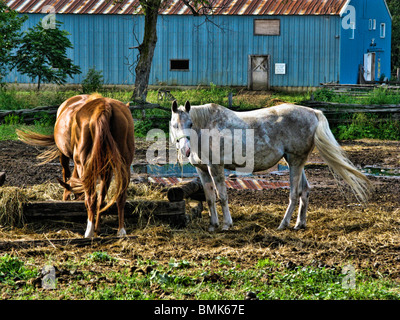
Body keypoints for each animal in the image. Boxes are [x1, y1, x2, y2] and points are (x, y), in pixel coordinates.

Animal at [17, 93, 134, 238]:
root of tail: (104, 106)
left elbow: (68, 177)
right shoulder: (106, 170)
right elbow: (102, 199)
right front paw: (98, 228)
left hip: (82, 164)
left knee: (91, 197)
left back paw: (88, 232)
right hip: (124, 164)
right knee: (120, 196)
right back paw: (120, 230)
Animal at [170, 101, 372, 231]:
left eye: (190, 123)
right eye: (173, 125)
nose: (185, 149)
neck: (206, 128)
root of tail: (314, 113)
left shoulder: (216, 168)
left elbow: (222, 197)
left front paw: (227, 225)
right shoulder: (203, 170)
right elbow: (210, 198)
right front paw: (213, 225)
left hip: (296, 161)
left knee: (294, 194)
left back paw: (283, 224)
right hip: (295, 162)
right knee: (305, 190)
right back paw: (299, 224)